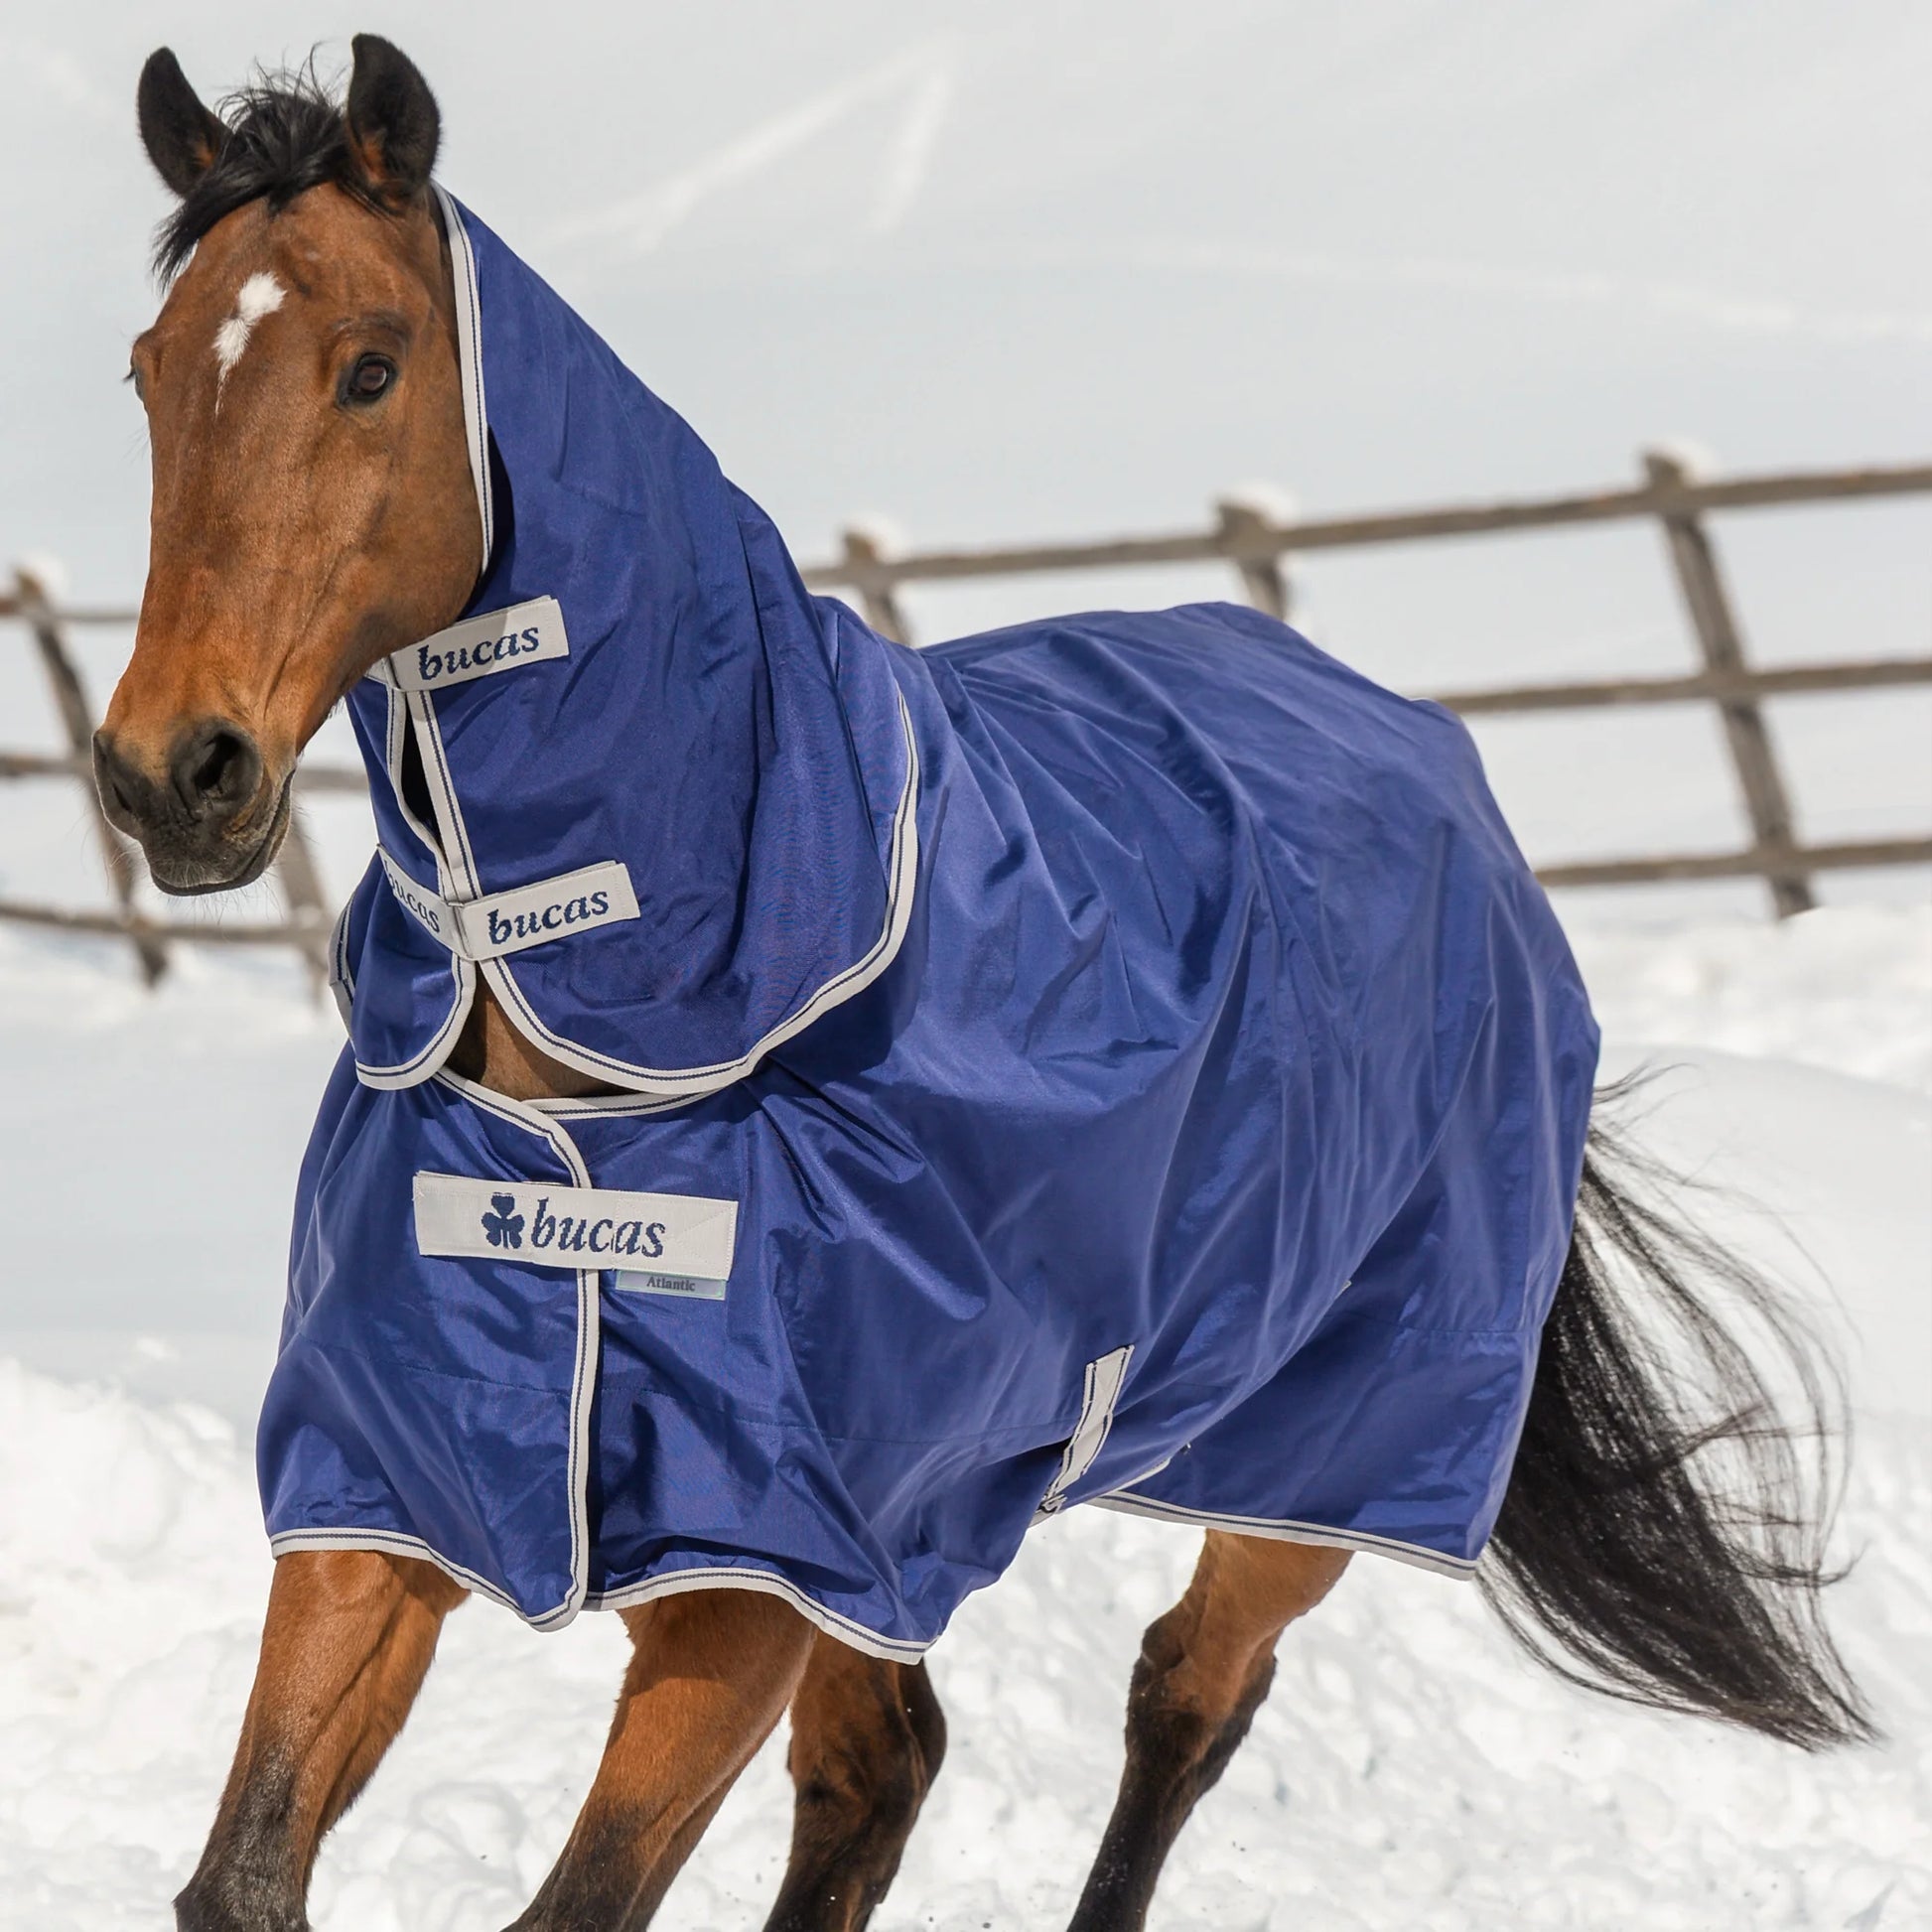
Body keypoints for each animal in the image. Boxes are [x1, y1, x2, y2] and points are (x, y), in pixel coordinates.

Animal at [98, 37, 1872, 1932]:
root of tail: (1424, 747)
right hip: (915, 1546)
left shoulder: (750, 1573)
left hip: (1308, 1459)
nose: (171, 771)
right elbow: (242, 1877)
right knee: (883, 1771)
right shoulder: (394, 1491)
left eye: (371, 366)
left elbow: (577, 1901)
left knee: (1185, 1697)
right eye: (150, 374)